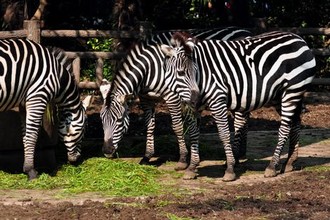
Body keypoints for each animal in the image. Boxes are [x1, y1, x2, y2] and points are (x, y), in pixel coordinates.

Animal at [0, 38, 90, 180]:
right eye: (84, 130)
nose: (76, 160)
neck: (58, 76)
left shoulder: (24, 103)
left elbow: (25, 136)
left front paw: (27, 168)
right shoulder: (38, 97)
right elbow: (32, 136)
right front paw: (31, 171)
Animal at [100, 27, 250, 179]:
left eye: (119, 120)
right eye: (101, 120)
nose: (107, 151)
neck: (150, 68)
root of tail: (244, 30)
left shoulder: (172, 96)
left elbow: (177, 127)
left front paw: (183, 159)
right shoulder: (146, 99)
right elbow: (149, 125)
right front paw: (147, 156)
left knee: (240, 121)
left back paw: (235, 158)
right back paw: (241, 153)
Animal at [161, 31, 316, 181]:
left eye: (197, 70)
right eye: (180, 73)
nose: (196, 99)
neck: (203, 79)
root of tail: (300, 39)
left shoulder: (218, 101)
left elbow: (224, 134)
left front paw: (230, 169)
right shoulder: (194, 109)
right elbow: (193, 134)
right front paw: (191, 168)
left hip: (292, 92)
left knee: (284, 128)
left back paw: (272, 166)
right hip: (280, 96)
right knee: (295, 121)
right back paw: (290, 161)